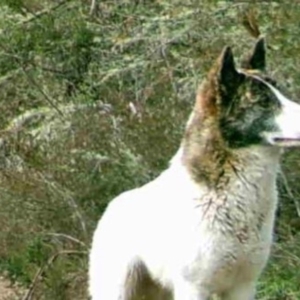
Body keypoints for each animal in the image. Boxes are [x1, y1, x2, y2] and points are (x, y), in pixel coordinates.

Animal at [88, 38, 300, 298]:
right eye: (263, 102)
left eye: (281, 94)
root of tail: (113, 205)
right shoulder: (194, 288)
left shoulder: (243, 287)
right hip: (117, 291)